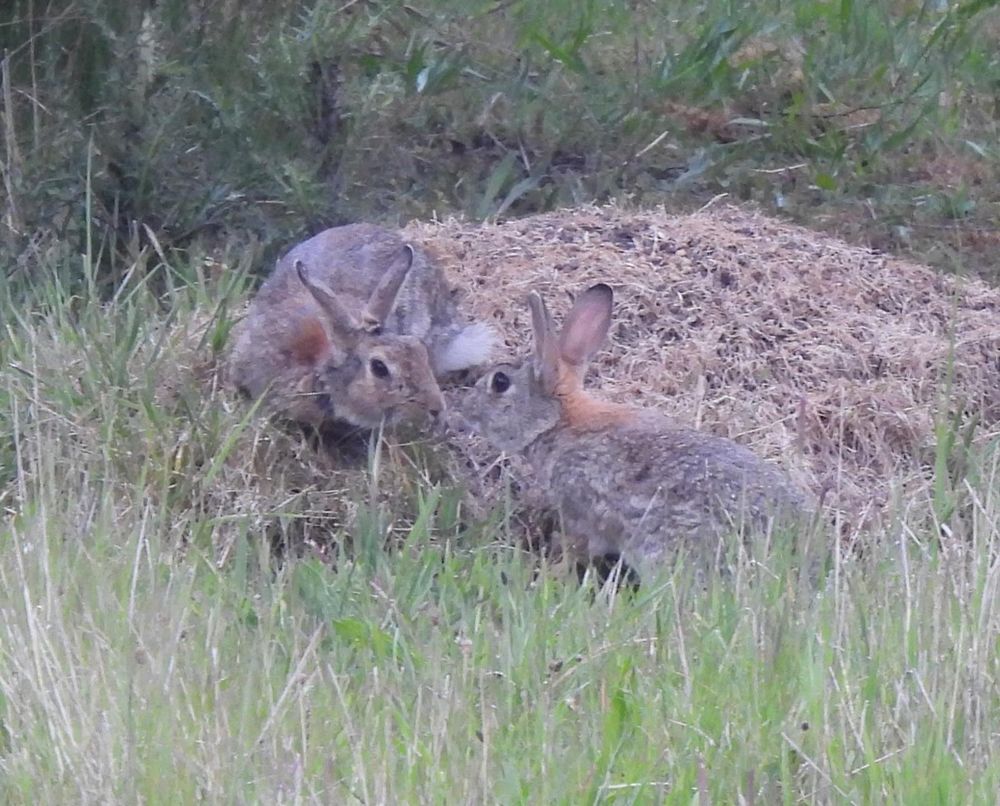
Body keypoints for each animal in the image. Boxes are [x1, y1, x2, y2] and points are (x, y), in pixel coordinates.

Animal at [456, 283, 815, 580]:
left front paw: (545, 575)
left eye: (500, 382)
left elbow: (578, 548)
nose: (464, 409)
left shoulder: (580, 513)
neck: (560, 422)